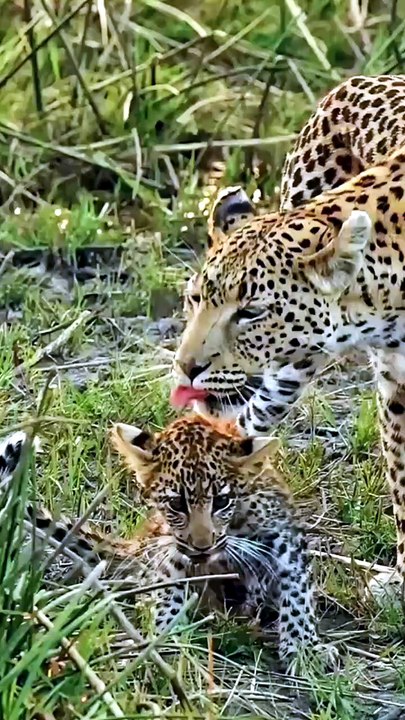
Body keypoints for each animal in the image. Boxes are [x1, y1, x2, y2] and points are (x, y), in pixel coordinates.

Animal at [0, 421, 327, 668]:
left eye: (222, 501)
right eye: (176, 503)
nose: (203, 546)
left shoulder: (284, 537)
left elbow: (297, 593)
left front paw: (304, 649)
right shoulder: (173, 548)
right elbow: (168, 586)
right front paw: (162, 635)